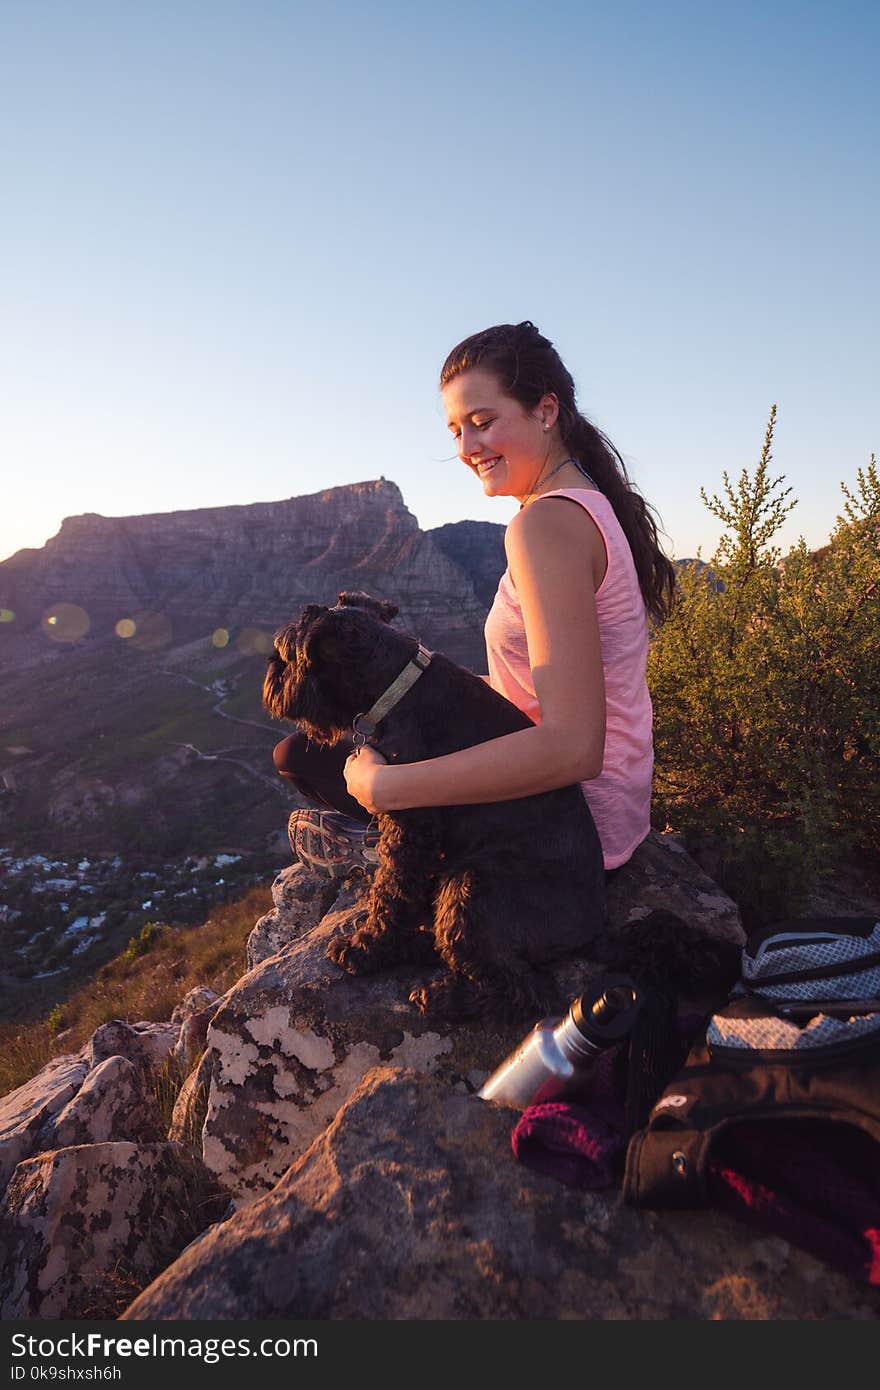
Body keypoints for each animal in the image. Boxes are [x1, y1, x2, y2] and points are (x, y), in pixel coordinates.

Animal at [261, 589, 603, 1023]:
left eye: (287, 651)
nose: (270, 673)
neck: (397, 686)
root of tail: (594, 922)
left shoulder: (409, 820)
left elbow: (391, 889)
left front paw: (365, 947)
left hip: (473, 884)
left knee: (525, 989)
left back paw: (440, 995)